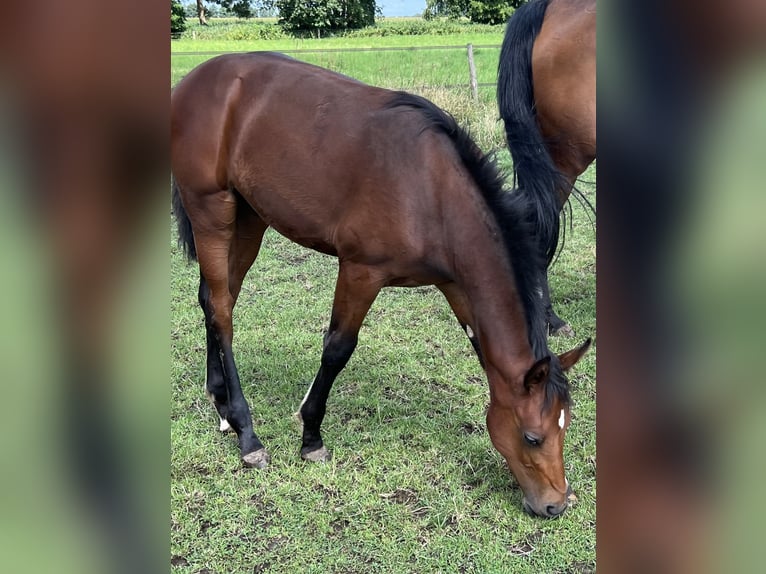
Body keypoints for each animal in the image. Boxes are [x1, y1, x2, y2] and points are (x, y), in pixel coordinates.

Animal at [172, 54, 592, 520]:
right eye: (533, 437)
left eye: (565, 426)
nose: (556, 504)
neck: (429, 190)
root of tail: (196, 80)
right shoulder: (361, 271)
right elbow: (338, 348)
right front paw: (311, 436)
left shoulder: (456, 286)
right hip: (211, 211)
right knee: (222, 310)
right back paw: (247, 433)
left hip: (249, 217)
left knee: (214, 300)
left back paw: (221, 403)